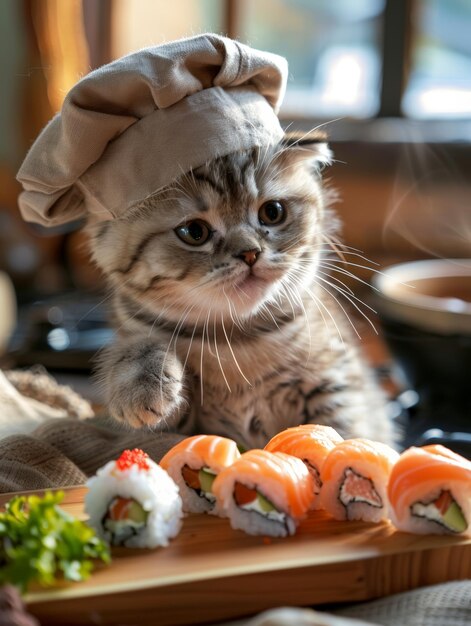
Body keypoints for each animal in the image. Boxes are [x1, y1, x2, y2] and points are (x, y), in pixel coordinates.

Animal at [86, 133, 396, 454]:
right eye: (194, 232)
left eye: (272, 213)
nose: (250, 253)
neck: (236, 339)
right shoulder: (175, 427)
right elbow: (139, 348)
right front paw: (141, 382)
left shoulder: (337, 386)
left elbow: (341, 433)